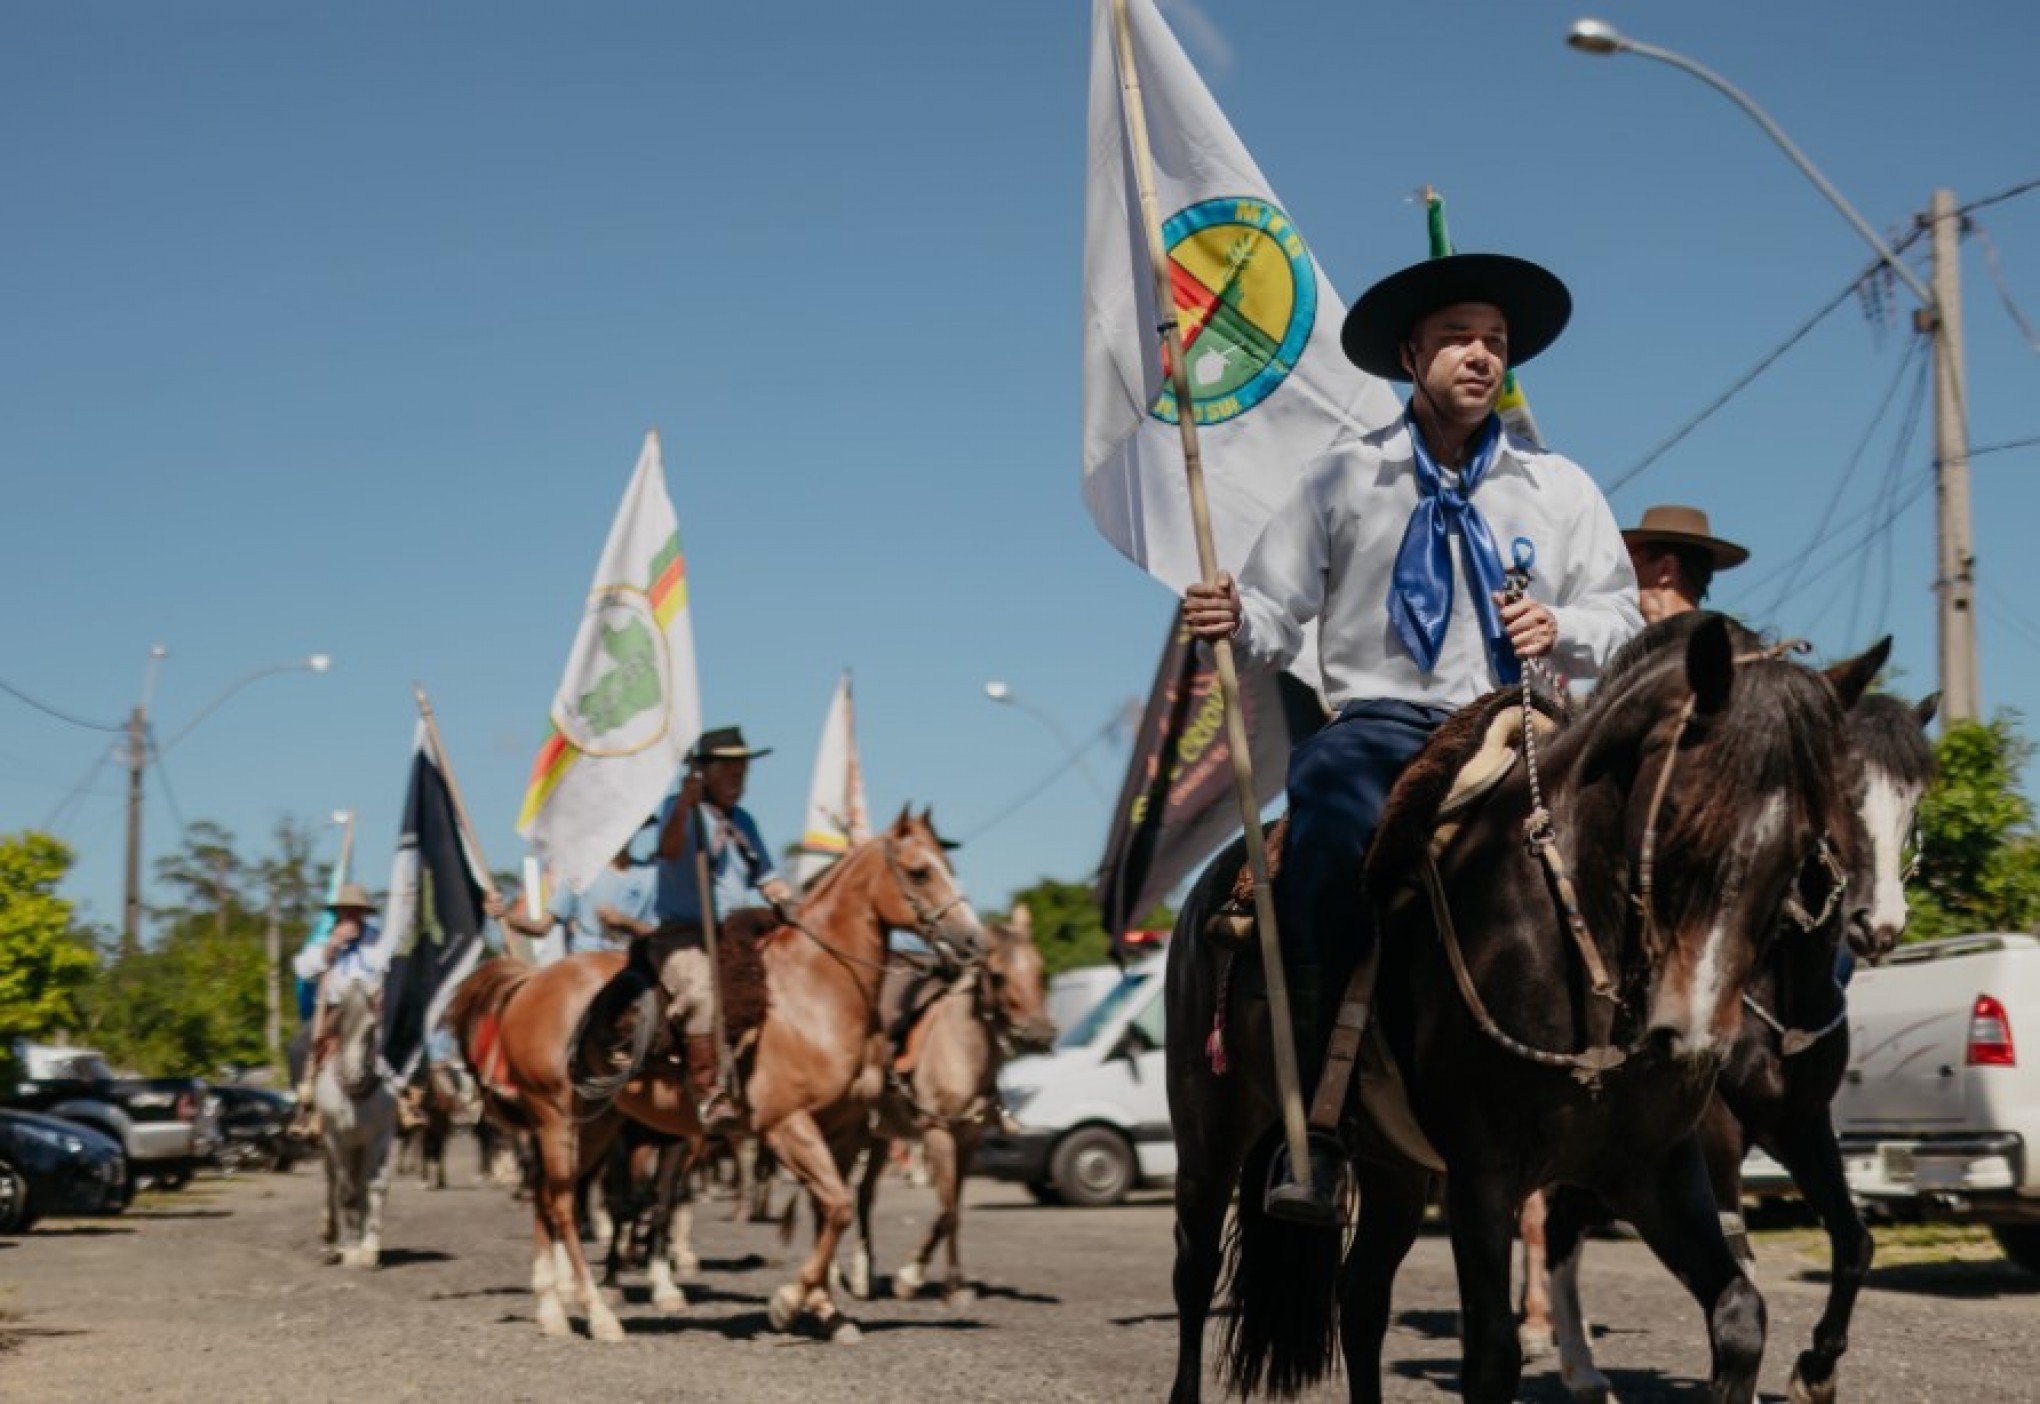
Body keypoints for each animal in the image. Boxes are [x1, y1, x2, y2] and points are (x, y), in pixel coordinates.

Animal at [316, 983, 399, 1265]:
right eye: (339, 1024)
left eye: (371, 1027)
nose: (354, 1075)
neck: (354, 1096)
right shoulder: (336, 1139)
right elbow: (345, 1193)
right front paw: (350, 1247)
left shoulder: (379, 1138)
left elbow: (374, 1187)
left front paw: (369, 1248)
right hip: (332, 1148)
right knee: (333, 1186)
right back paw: (330, 1243)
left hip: (359, 1150)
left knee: (361, 1184)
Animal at [448, 808, 987, 1346]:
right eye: (920, 872)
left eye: (948, 867)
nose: (974, 941)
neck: (815, 991)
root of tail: (530, 982)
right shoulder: (786, 1124)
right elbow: (836, 1207)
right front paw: (787, 1304)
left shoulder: (846, 1129)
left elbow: (828, 1212)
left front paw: (828, 1312)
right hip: (556, 1115)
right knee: (562, 1203)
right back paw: (599, 1314)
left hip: (595, 1123)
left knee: (547, 1197)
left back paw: (552, 1312)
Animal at [840, 906, 1060, 1314]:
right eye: (997, 974)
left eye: (1040, 969)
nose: (1040, 1034)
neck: (958, 1050)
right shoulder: (937, 1133)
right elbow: (947, 1210)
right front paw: (913, 1278)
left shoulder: (968, 1138)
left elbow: (953, 1208)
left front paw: (950, 1284)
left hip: (880, 1138)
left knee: (863, 1195)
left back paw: (864, 1277)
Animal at [1166, 620, 1876, 1403]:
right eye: (1684, 815)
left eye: (1806, 839)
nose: (1692, 1037)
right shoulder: (1483, 1177)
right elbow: (1491, 1360)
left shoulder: (1655, 1168)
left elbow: (1742, 1313)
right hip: (1210, 1136)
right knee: (1195, 1272)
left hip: (1394, 1169)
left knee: (1361, 1298)